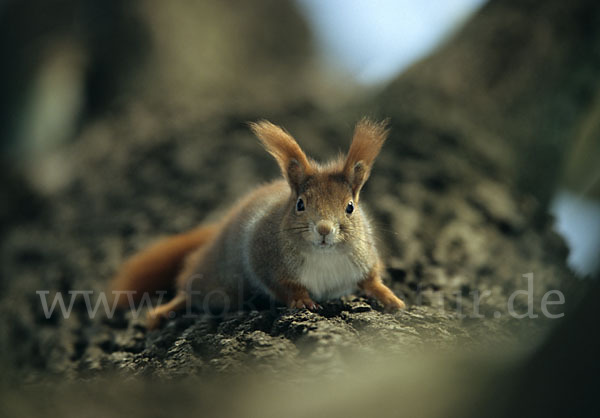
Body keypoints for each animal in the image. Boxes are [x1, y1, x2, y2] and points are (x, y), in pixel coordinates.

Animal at [110, 116, 406, 326]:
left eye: (350, 207)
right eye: (300, 204)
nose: (324, 229)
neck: (325, 256)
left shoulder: (363, 257)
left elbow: (371, 279)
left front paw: (391, 297)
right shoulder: (264, 259)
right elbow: (283, 286)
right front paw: (301, 300)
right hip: (215, 279)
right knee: (188, 292)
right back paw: (159, 314)